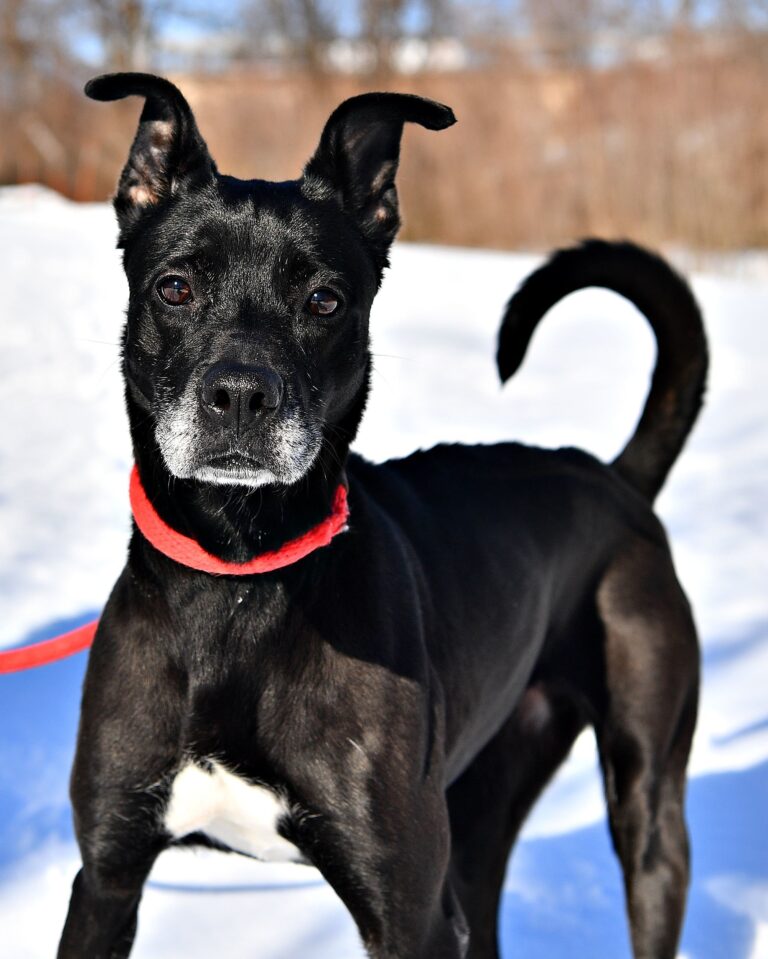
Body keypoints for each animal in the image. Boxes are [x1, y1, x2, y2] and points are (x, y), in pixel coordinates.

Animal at [58, 75, 708, 959]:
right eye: (176, 287)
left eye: (324, 299)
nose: (240, 395)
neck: (238, 578)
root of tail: (612, 478)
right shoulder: (107, 877)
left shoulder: (408, 910)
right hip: (481, 809)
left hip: (645, 801)